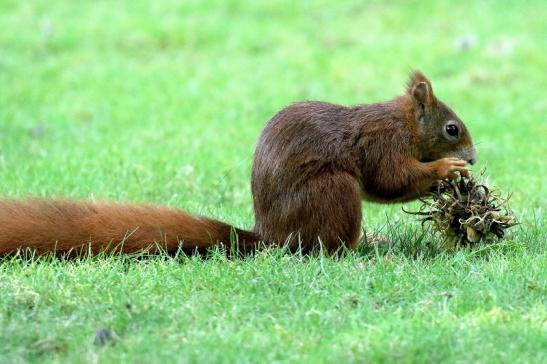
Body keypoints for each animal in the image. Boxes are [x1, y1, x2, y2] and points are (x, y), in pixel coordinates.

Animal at [0, 72, 476, 256]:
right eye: (452, 129)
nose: (472, 155)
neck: (404, 123)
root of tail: (270, 237)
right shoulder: (381, 142)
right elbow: (390, 179)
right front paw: (447, 171)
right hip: (332, 190)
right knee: (328, 247)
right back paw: (368, 246)